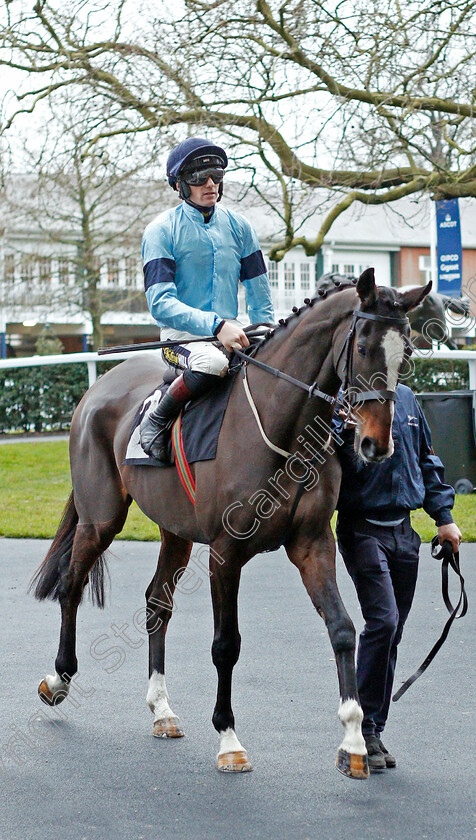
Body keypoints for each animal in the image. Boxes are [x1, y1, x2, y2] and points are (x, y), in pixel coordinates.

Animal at [31, 270, 430, 780]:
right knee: (71, 585)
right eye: (362, 347)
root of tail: (99, 387)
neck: (284, 431)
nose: (376, 444)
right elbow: (226, 645)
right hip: (101, 517)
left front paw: (355, 741)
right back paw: (57, 679)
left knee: (157, 601)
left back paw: (162, 709)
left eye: (408, 352)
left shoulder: (312, 543)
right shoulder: (226, 551)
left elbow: (342, 629)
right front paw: (229, 739)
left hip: (175, 528)